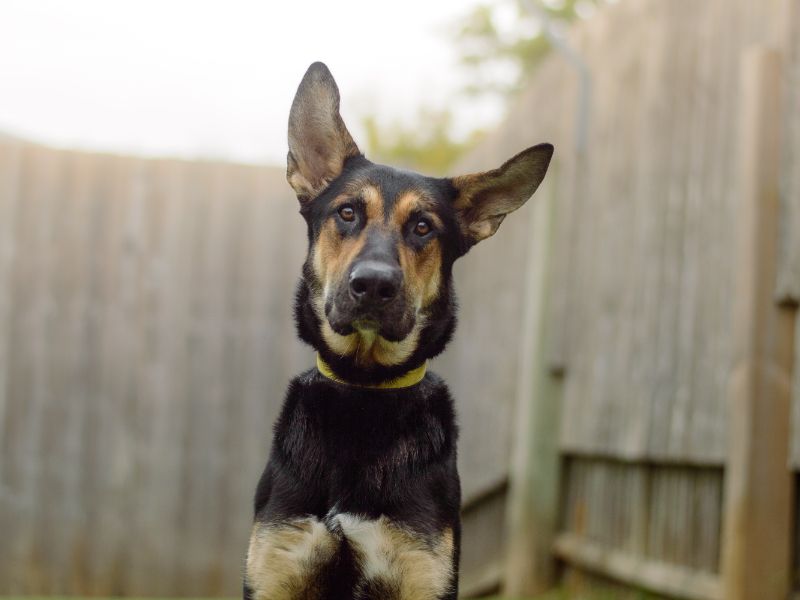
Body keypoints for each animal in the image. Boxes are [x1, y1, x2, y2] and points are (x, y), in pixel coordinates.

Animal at [242, 62, 552, 600]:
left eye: (423, 227)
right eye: (347, 213)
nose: (373, 285)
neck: (364, 391)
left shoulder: (420, 568)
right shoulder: (279, 566)